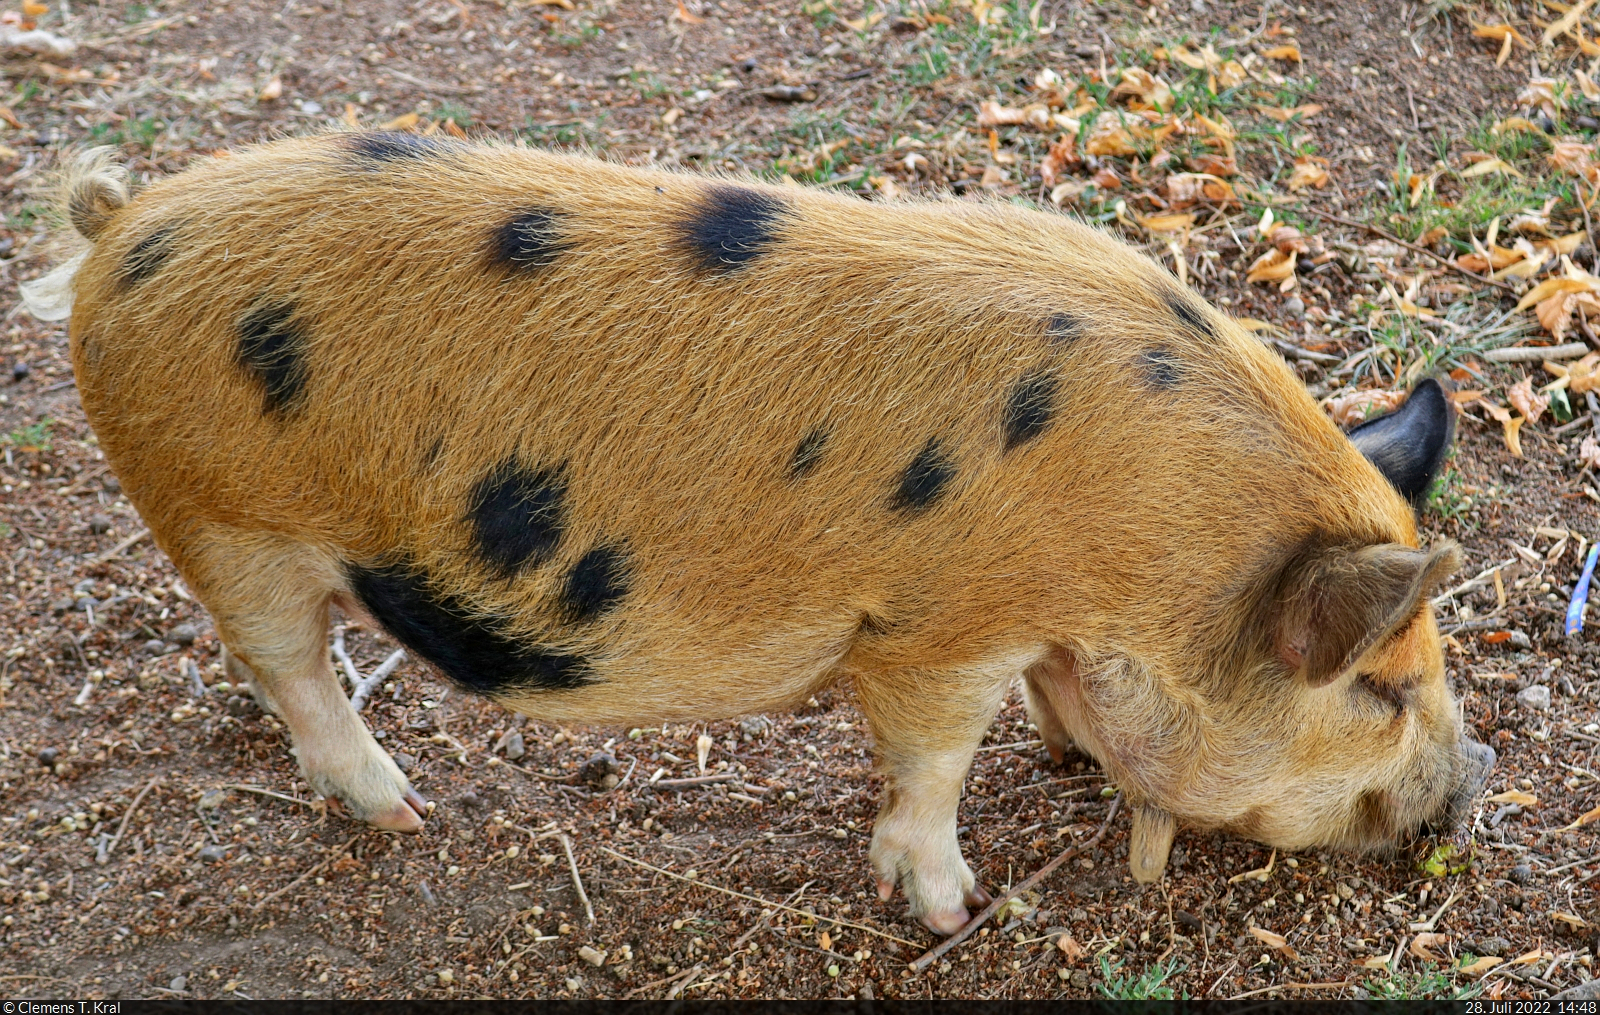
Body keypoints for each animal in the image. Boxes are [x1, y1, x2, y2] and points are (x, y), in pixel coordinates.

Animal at [25, 136, 1491, 934]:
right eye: (1379, 686)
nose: (1464, 794)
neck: (1147, 548)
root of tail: (118, 228)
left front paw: (1066, 758)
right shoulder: (937, 631)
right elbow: (932, 765)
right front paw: (957, 906)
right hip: (221, 513)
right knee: (293, 666)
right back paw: (403, 809)